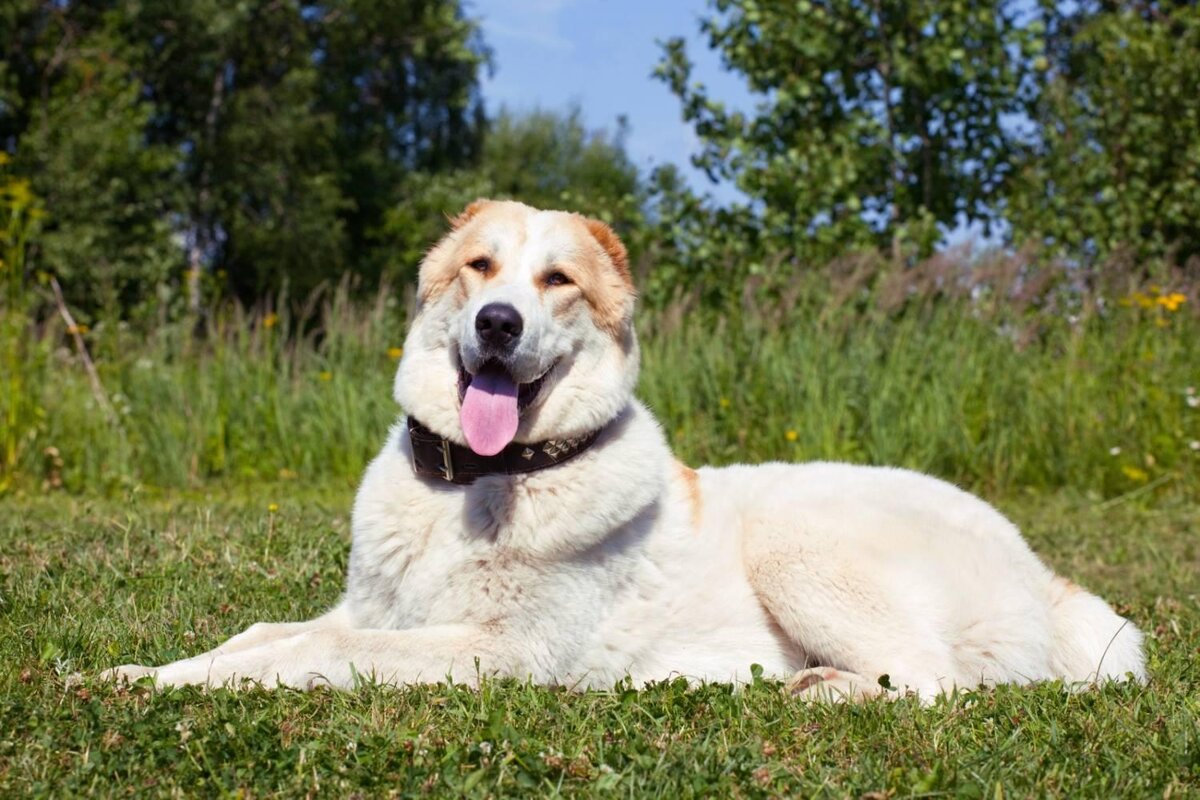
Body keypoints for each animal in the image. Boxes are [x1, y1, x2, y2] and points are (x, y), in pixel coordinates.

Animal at [108, 200, 1147, 700]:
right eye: (480, 268)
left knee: (934, 685)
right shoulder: (376, 612)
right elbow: (257, 636)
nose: (496, 322)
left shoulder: (500, 654)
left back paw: (821, 691)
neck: (474, 486)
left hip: (798, 541)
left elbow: (307, 655)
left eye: (557, 282)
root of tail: (1047, 576)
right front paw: (136, 677)